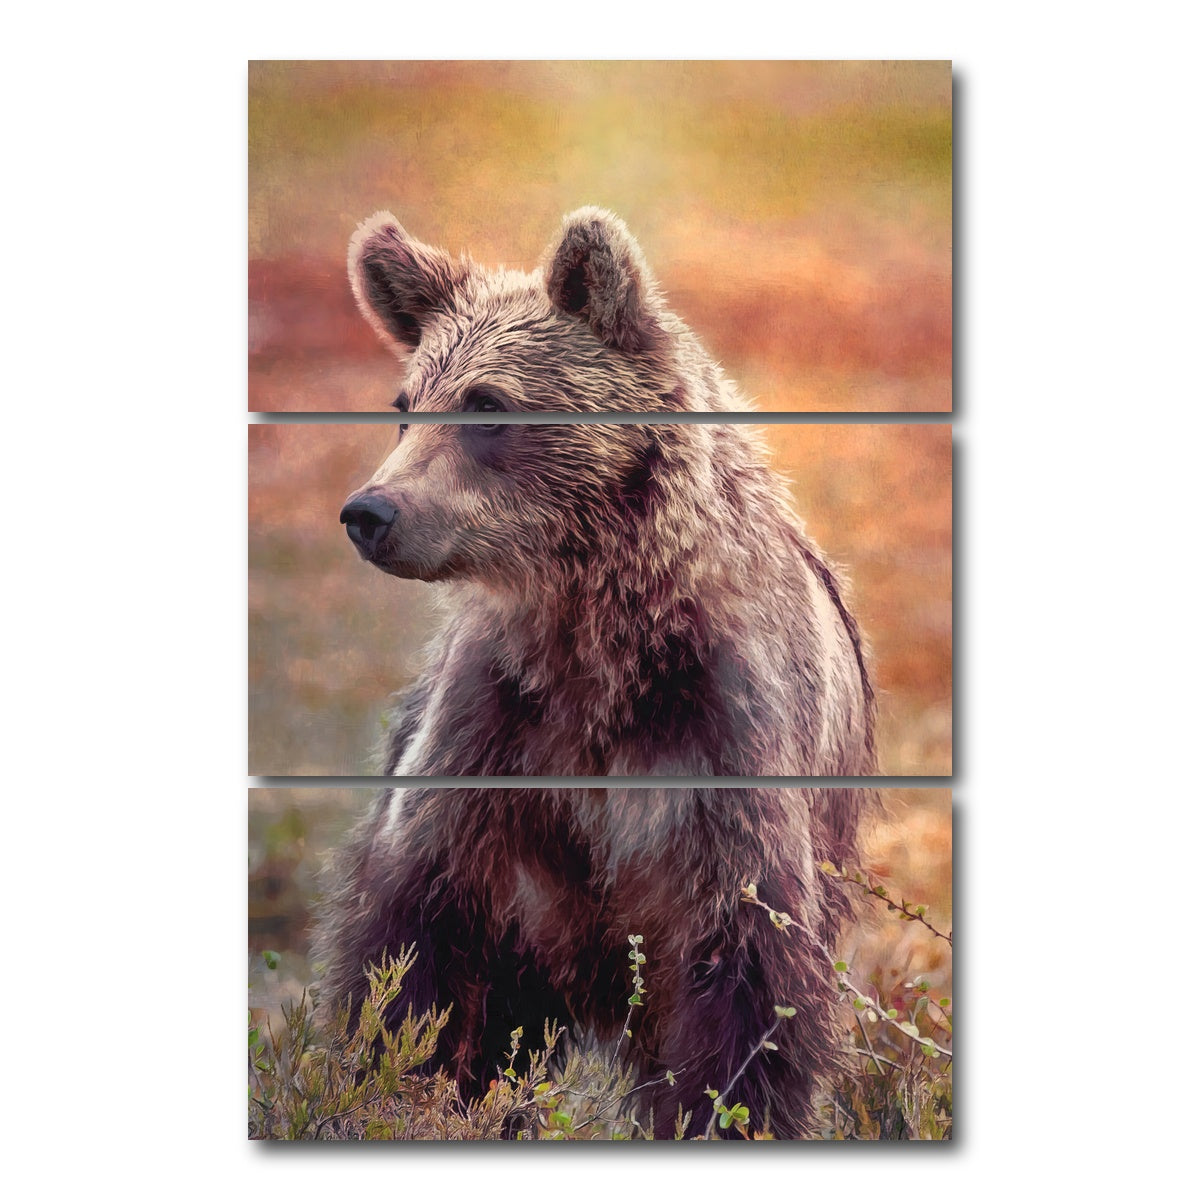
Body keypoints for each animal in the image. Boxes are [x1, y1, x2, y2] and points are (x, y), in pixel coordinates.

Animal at [317, 208, 877, 1138]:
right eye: (405, 408)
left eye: (487, 405)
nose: (370, 512)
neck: (596, 642)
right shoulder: (493, 745)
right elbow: (416, 964)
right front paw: (401, 1087)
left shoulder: (720, 751)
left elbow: (748, 997)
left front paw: (728, 1112)